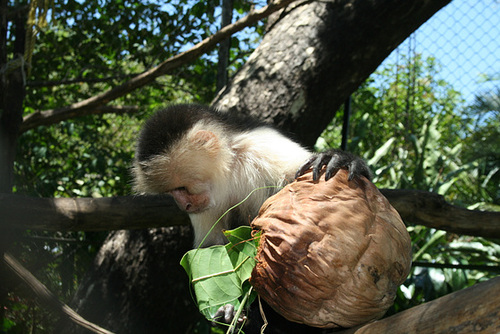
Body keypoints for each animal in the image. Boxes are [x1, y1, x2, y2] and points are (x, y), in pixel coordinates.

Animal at [133, 104, 372, 248]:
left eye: (182, 188)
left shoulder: (262, 147)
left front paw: (341, 158)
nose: (185, 206)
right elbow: (211, 247)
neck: (229, 169)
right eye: (172, 192)